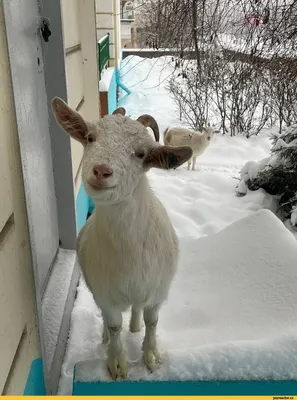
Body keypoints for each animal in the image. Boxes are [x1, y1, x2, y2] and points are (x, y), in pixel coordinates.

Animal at [51, 98, 192, 380]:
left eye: (141, 153)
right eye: (90, 137)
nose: (101, 171)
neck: (129, 250)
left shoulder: (158, 291)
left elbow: (152, 321)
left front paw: (150, 357)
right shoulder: (105, 295)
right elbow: (115, 325)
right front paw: (117, 364)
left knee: (137, 309)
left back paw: (135, 328)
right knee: (109, 322)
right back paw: (106, 338)